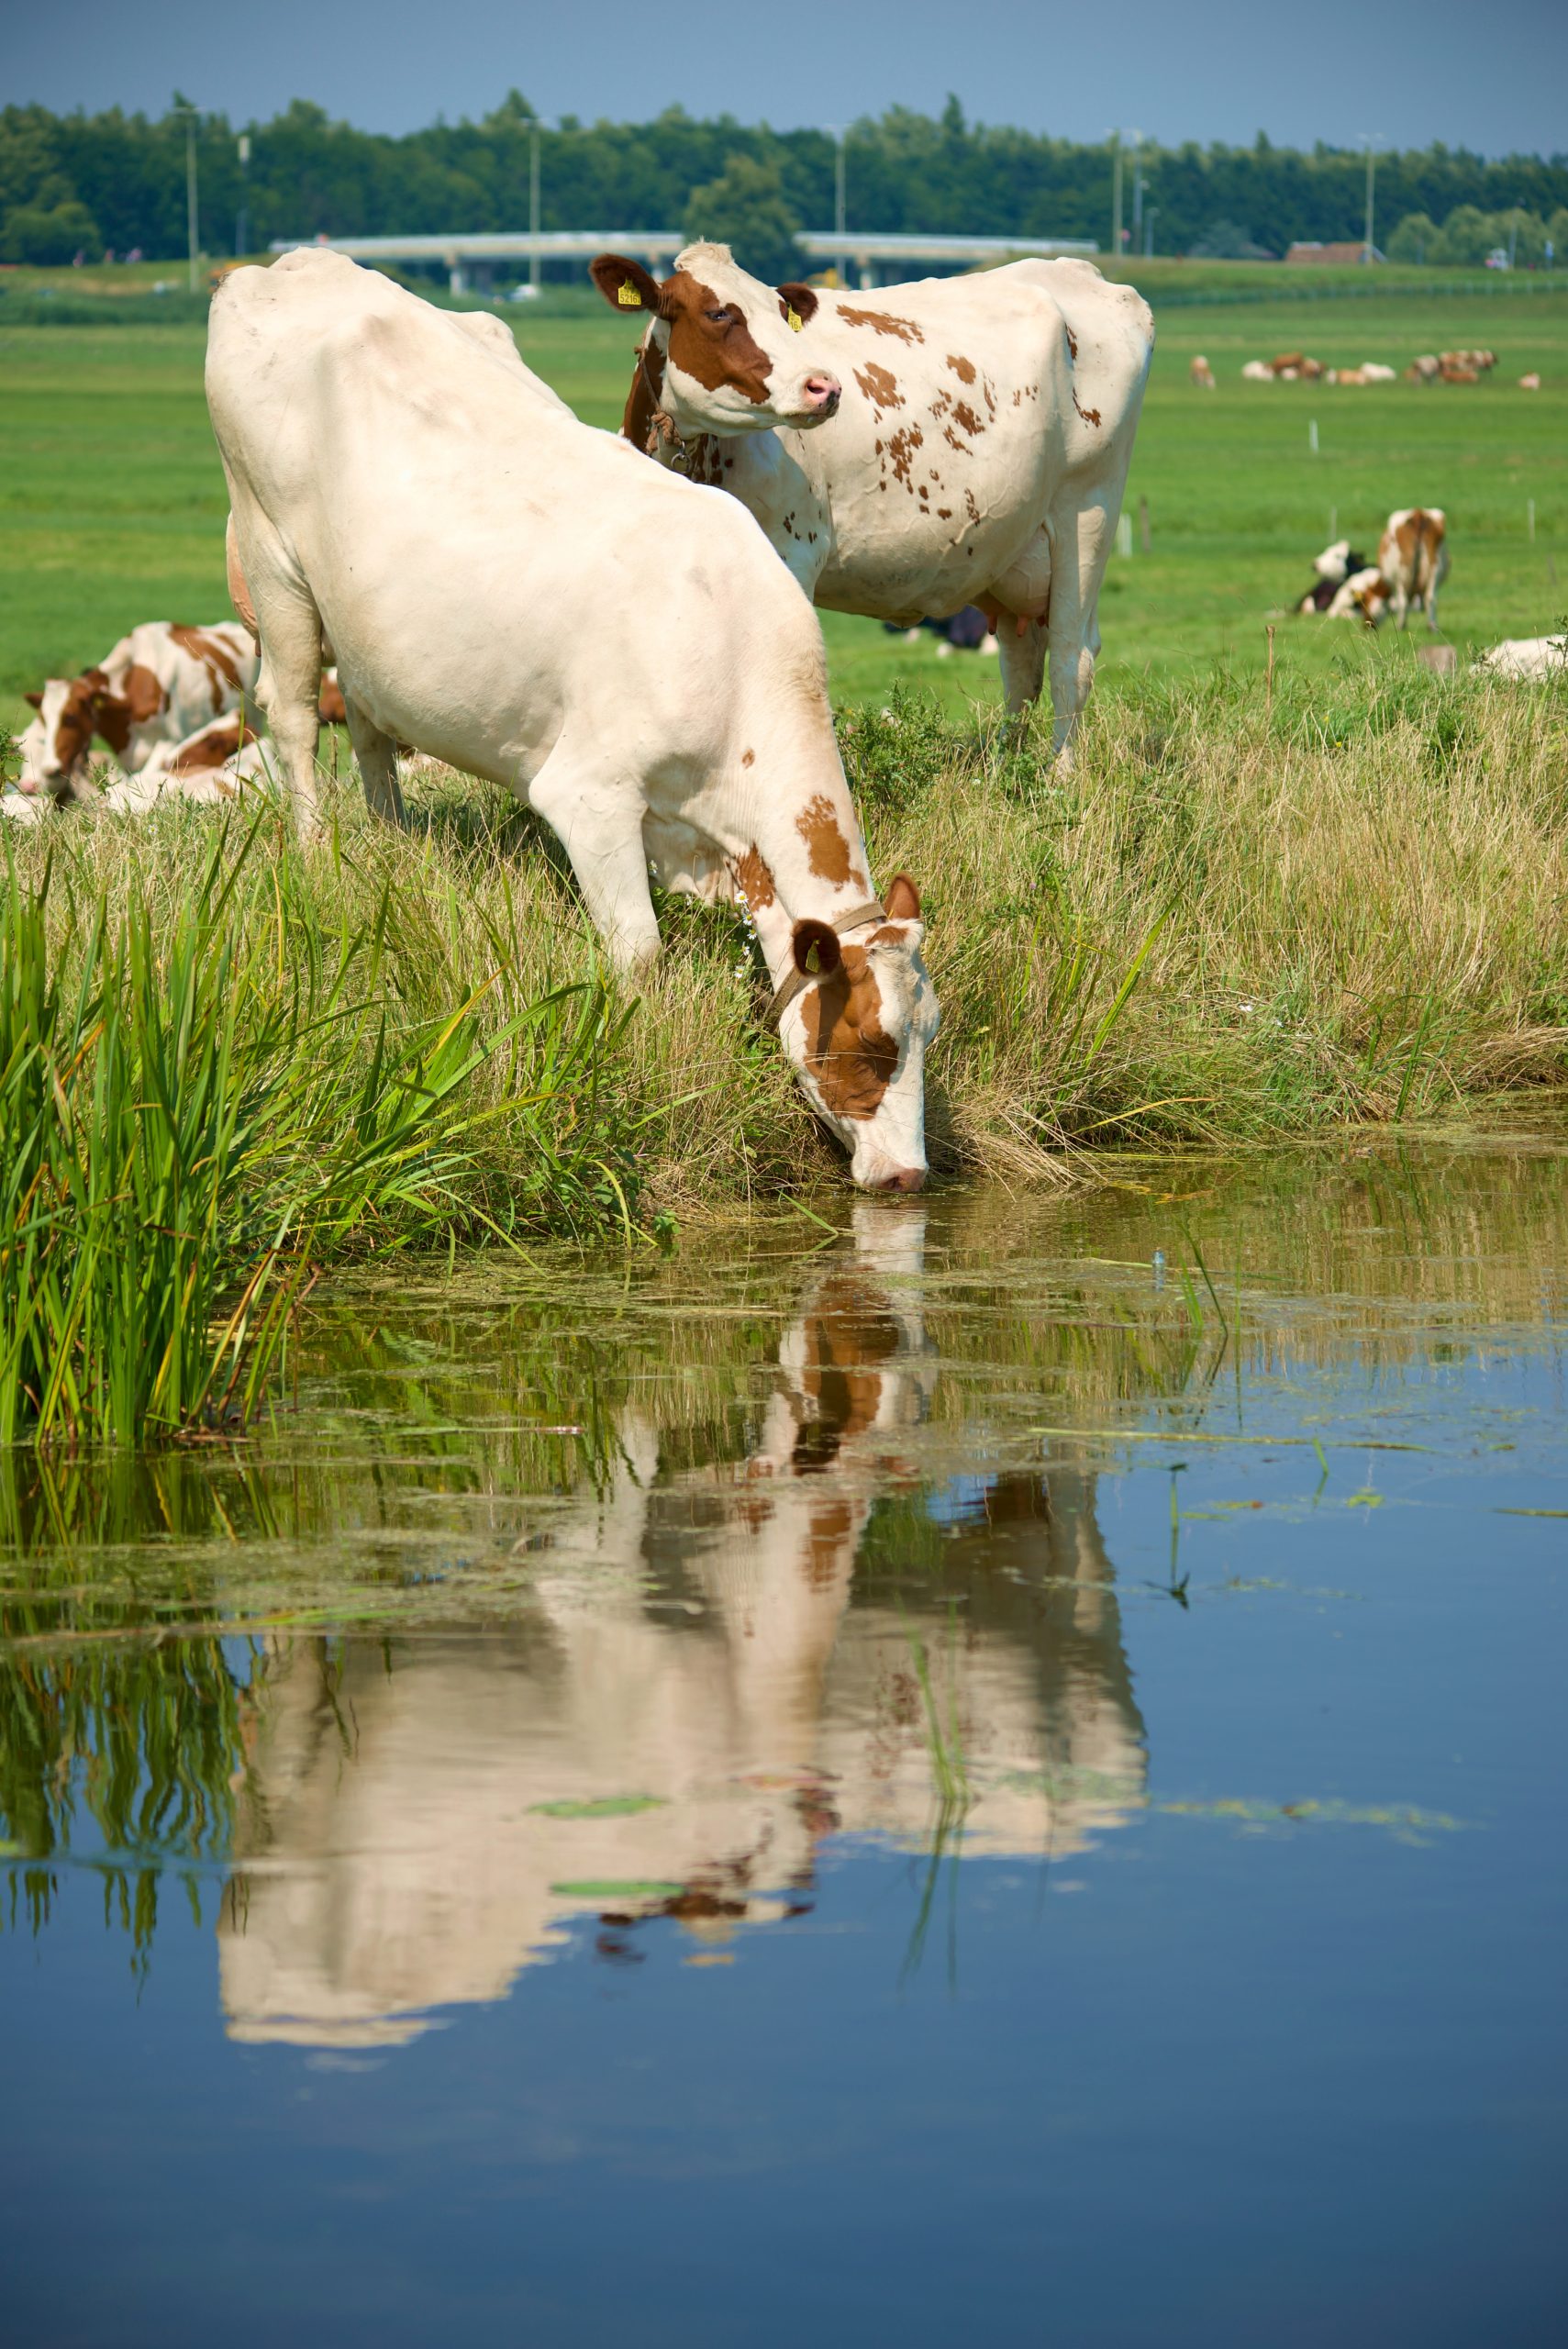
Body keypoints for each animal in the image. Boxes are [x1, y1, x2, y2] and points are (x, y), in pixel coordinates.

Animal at [209, 257, 943, 1193]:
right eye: (866, 1043)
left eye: (928, 1036)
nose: (908, 1178)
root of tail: (293, 265)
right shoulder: (589, 795)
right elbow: (636, 950)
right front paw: (638, 1061)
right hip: (273, 563)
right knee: (299, 720)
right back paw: (316, 859)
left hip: (369, 629)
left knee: (371, 732)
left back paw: (392, 850)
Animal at [594, 238, 1159, 751]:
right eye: (717, 313)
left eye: (781, 313)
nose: (824, 386)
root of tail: (1077, 269)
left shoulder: (793, 556)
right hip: (1013, 548)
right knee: (1021, 666)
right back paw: (1006, 771)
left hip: (1087, 513)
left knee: (1069, 661)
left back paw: (1059, 782)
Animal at [1380, 507, 1455, 634]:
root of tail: (1418, 513)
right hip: (1435, 566)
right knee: (1430, 597)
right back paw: (1432, 627)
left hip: (1402, 572)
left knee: (1403, 601)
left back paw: (1401, 626)